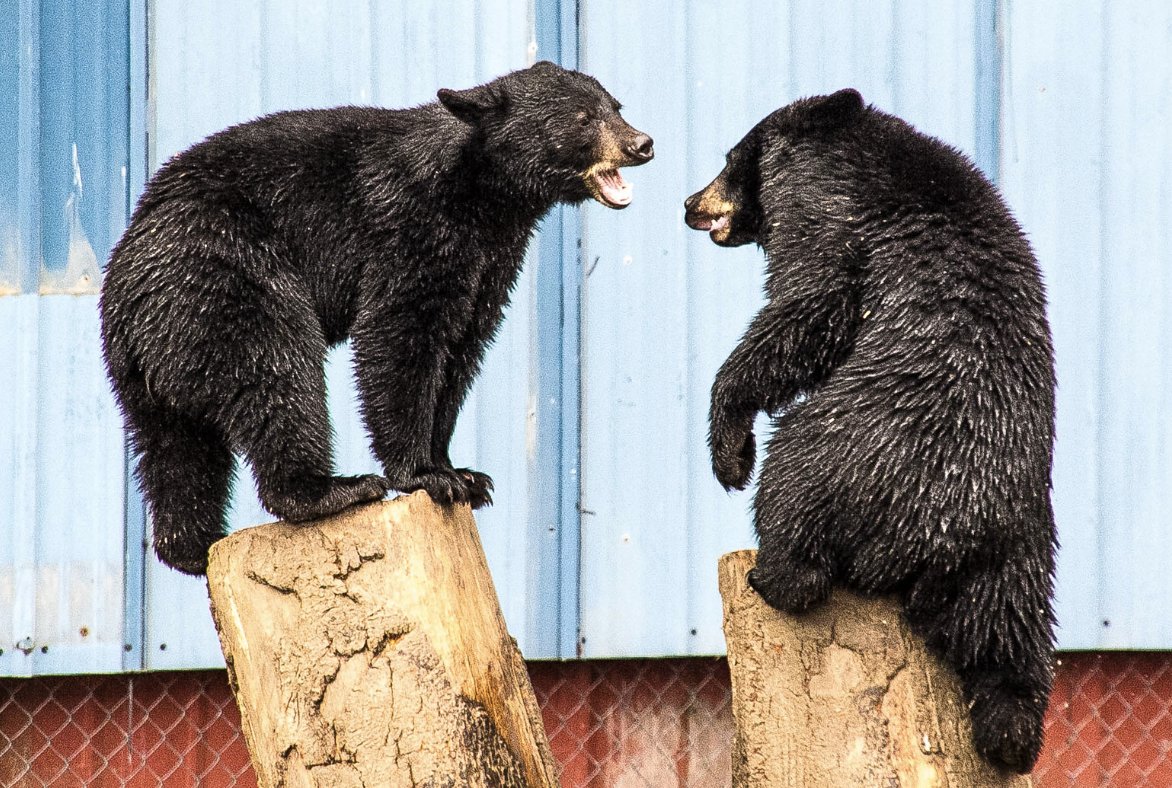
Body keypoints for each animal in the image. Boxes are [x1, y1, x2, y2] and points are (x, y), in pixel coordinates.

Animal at [99, 61, 651, 574]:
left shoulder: (490, 264)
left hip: (152, 365)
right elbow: (400, 333)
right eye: (582, 118)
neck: (481, 194)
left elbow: (461, 351)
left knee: (176, 449)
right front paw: (425, 475)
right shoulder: (411, 229)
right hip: (227, 278)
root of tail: (125, 291)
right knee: (277, 373)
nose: (641, 143)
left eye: (615, 106)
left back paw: (192, 546)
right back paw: (332, 489)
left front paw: (462, 473)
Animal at [684, 89, 1064, 773]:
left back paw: (773, 570)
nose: (689, 204)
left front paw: (730, 452)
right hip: (1020, 558)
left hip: (849, 444)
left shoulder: (829, 216)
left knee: (796, 487)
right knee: (1011, 647)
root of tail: (946, 543)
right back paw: (1010, 735)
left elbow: (808, 310)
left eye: (728, 160)